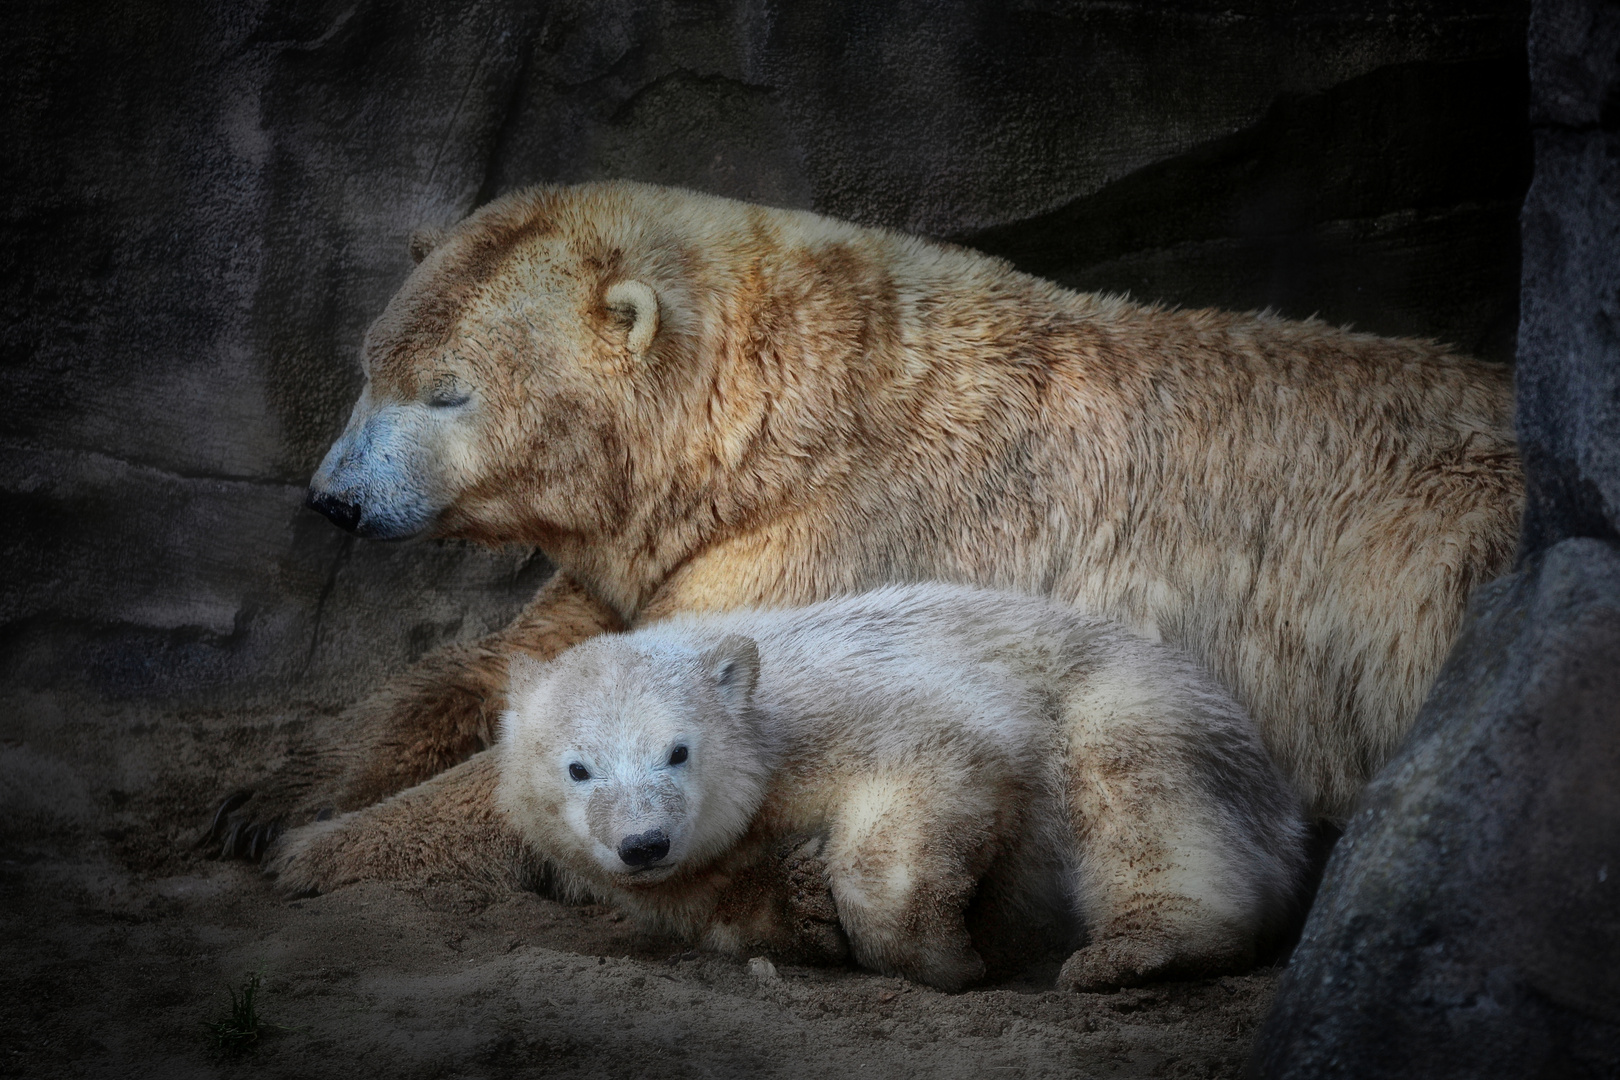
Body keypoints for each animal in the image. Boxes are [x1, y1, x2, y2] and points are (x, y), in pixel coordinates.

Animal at [239, 183, 1516, 893]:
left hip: (1422, 547)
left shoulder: (833, 544)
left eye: (448, 391)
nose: (333, 501)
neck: (781, 416)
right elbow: (507, 662)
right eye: (370, 367)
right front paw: (265, 795)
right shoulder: (660, 545)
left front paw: (311, 852)